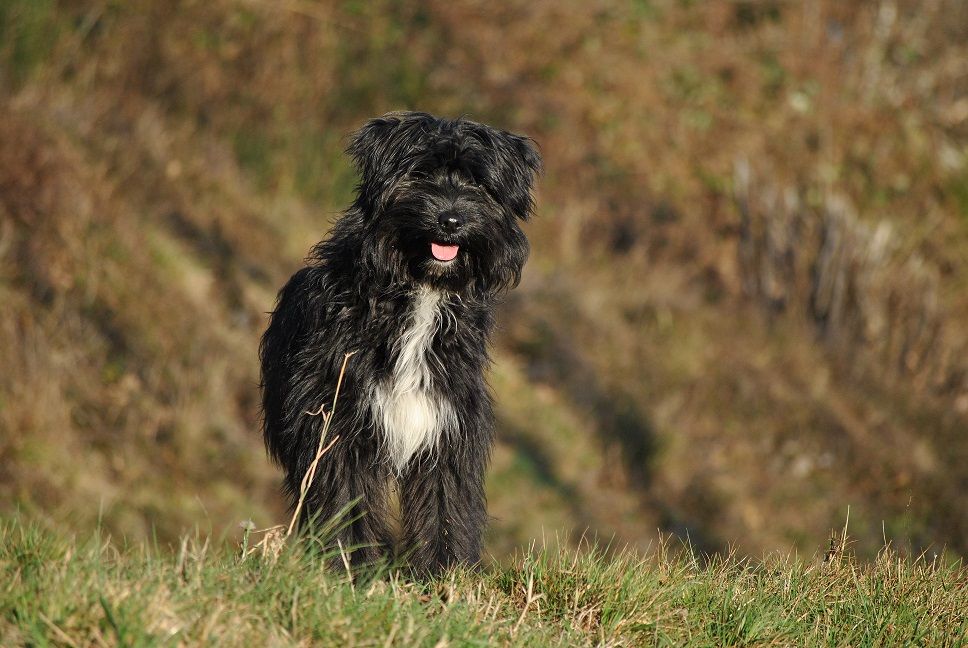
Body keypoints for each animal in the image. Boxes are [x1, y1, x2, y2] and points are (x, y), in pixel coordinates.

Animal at [258, 110, 540, 572]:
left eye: (478, 183)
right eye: (420, 173)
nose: (451, 220)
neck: (421, 290)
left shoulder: (445, 425)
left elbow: (447, 507)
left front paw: (446, 573)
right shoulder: (338, 424)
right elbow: (346, 501)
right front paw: (352, 570)